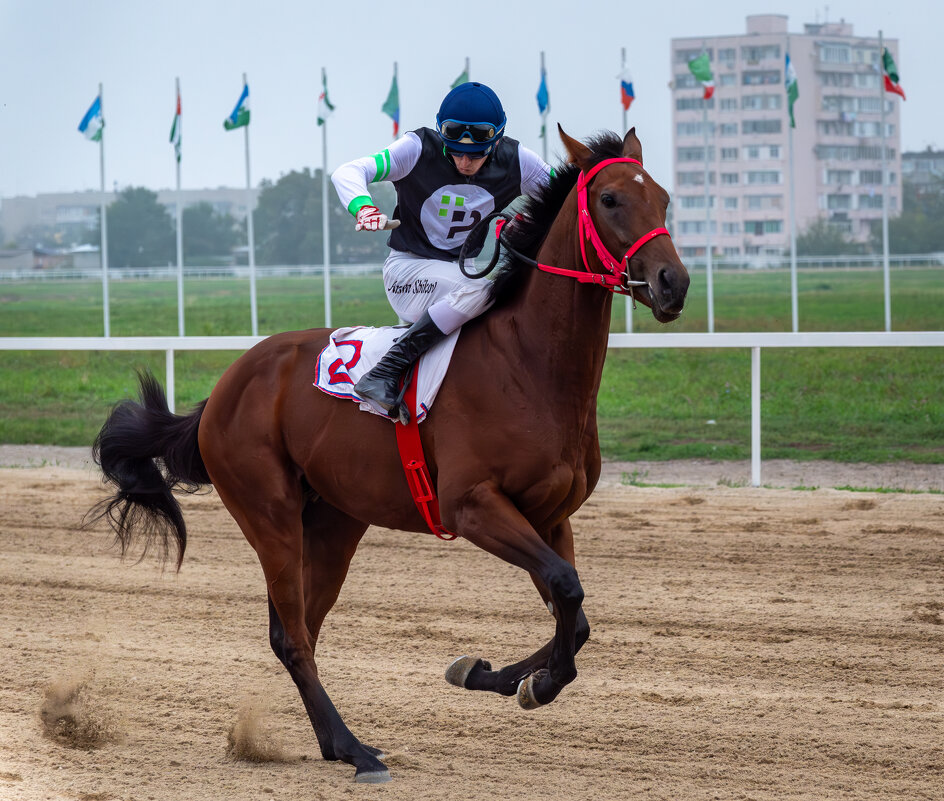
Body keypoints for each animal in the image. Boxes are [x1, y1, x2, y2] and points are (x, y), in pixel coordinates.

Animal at [88, 126, 688, 780]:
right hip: (269, 514)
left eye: (662, 198)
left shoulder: (548, 515)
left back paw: (334, 742)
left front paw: (497, 675)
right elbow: (567, 588)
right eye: (609, 199)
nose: (673, 283)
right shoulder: (472, 507)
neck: (530, 365)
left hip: (334, 521)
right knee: (292, 635)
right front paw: (530, 680)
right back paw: (354, 749)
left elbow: (572, 613)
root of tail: (226, 386)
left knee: (301, 627)